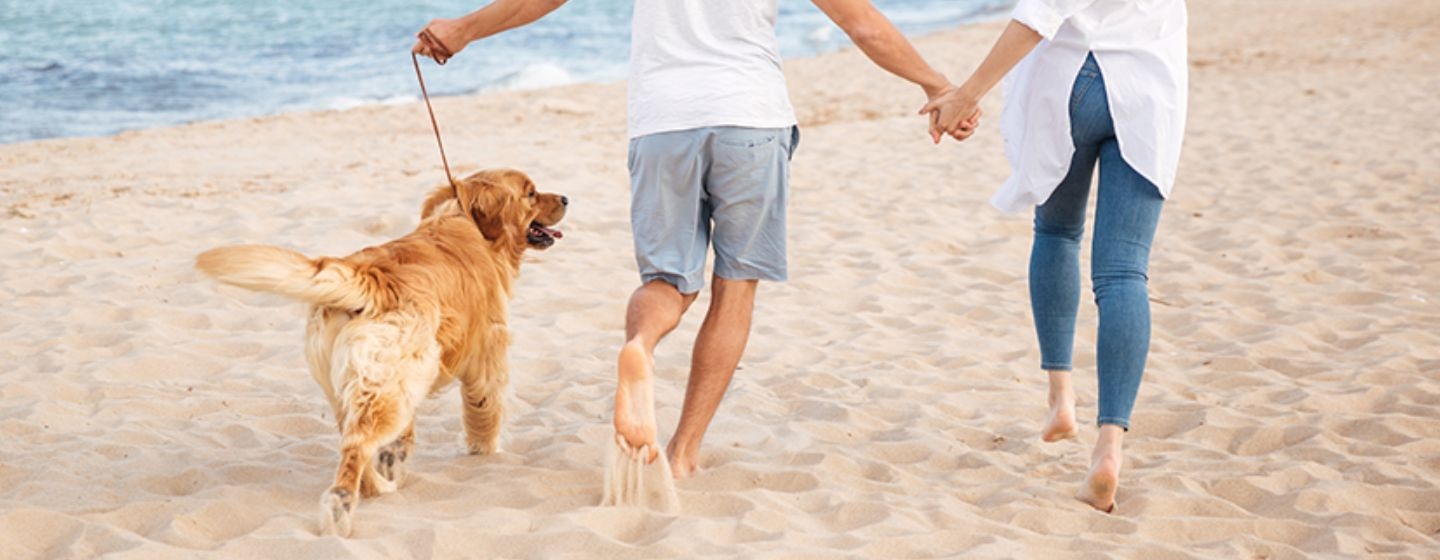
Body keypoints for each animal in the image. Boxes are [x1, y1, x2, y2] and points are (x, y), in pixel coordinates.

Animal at [195, 167, 561, 535]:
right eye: (531, 193)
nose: (566, 198)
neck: (465, 220)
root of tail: (370, 276)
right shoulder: (487, 352)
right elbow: (486, 410)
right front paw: (485, 451)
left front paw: (395, 457)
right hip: (388, 386)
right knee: (356, 448)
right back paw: (341, 508)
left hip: (356, 386)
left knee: (352, 437)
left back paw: (376, 485)